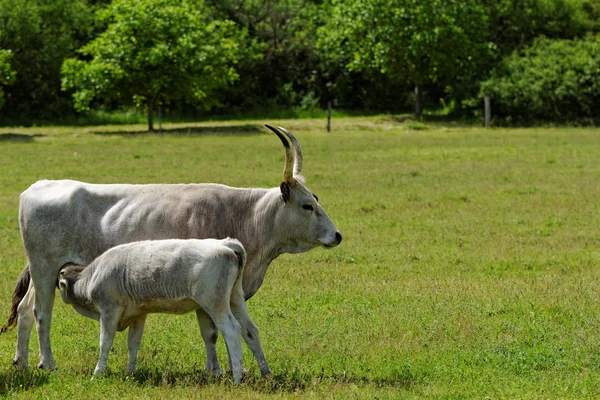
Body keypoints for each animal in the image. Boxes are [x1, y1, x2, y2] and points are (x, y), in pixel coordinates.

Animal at [2, 125, 342, 372]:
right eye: (307, 205)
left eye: (316, 200)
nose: (337, 235)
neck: (245, 215)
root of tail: (39, 186)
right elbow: (212, 331)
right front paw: (217, 370)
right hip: (45, 269)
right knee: (42, 313)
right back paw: (48, 363)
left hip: (43, 272)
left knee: (25, 310)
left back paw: (22, 362)